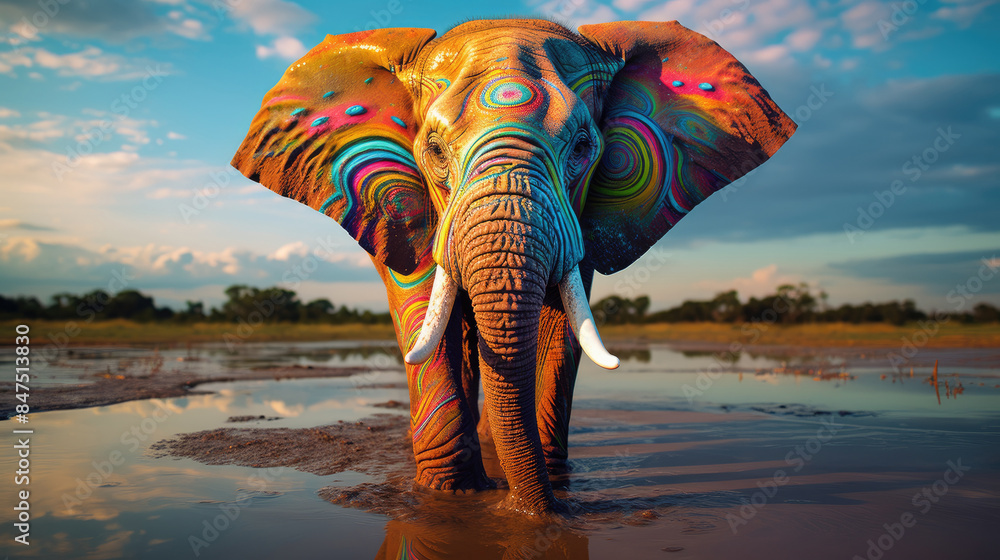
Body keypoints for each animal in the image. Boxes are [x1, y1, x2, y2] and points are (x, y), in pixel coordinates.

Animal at [231, 18, 795, 514]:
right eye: (433, 149)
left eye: (584, 146)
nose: (536, 510)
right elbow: (420, 311)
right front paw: (450, 498)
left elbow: (560, 326)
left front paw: (545, 492)